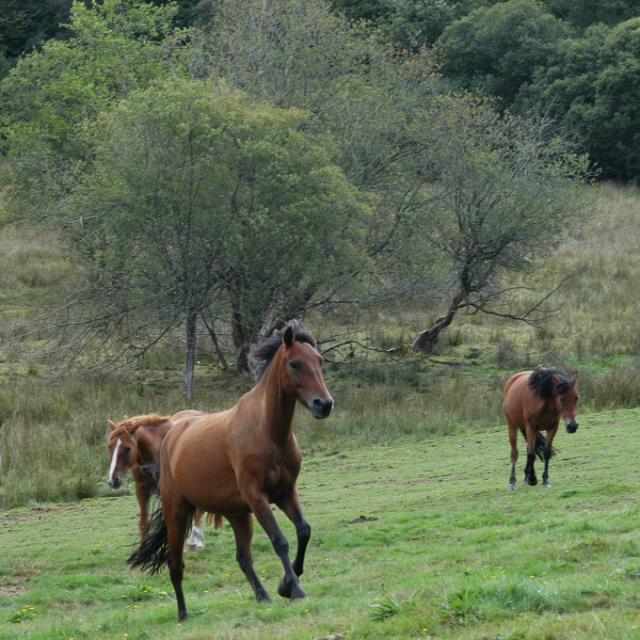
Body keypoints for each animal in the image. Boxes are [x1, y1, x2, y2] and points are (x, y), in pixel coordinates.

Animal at [107, 412, 208, 548]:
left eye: (128, 448)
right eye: (110, 447)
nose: (113, 479)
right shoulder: (141, 490)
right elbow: (144, 523)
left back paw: (195, 539)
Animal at [127, 324, 332, 620]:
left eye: (319, 361)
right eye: (295, 364)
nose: (324, 404)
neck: (268, 432)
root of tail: (172, 435)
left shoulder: (285, 493)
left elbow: (304, 531)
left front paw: (285, 586)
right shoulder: (257, 497)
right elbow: (279, 540)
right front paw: (296, 589)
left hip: (237, 515)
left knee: (243, 558)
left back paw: (263, 596)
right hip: (178, 511)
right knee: (175, 562)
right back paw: (183, 614)